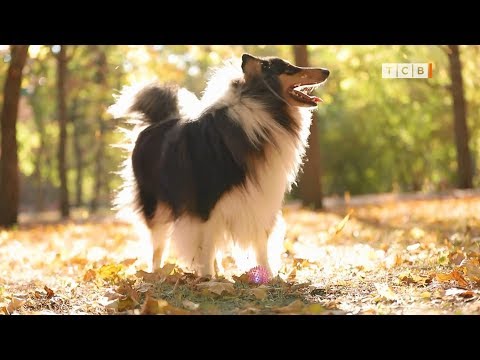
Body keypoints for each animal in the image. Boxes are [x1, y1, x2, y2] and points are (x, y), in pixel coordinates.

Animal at [111, 53, 330, 276]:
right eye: (289, 68)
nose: (326, 71)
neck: (262, 103)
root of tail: (152, 125)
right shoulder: (205, 201)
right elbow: (206, 247)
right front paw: (208, 278)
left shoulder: (260, 199)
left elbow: (260, 244)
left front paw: (268, 276)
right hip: (155, 206)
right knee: (158, 245)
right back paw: (157, 273)